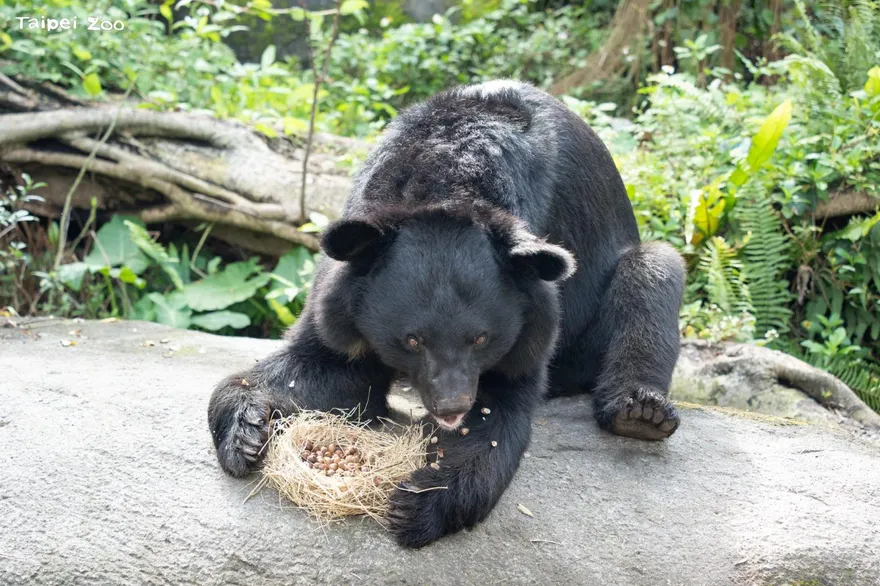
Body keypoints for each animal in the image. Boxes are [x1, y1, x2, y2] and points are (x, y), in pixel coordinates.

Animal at [207, 80, 685, 548]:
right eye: (412, 339)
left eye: (481, 338)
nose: (452, 406)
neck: (445, 179)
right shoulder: (346, 301)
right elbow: (328, 364)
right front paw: (245, 430)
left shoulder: (533, 318)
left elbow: (500, 408)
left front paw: (418, 502)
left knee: (653, 272)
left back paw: (641, 414)